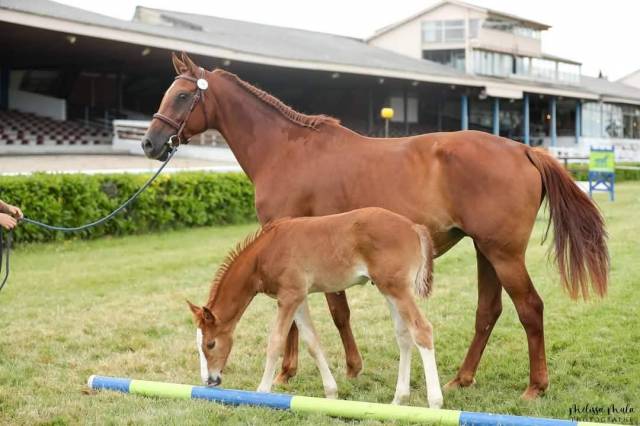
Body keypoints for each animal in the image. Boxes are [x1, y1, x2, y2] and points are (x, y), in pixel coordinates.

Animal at [187, 207, 443, 407]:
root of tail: (414, 227)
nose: (209, 380)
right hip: (388, 289)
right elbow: (312, 342)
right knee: (404, 335)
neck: (264, 253)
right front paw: (331, 393)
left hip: (397, 288)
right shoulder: (299, 298)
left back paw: (435, 402)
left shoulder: (289, 297)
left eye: (210, 344)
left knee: (422, 330)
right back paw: (399, 399)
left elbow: (276, 341)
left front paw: (261, 393)